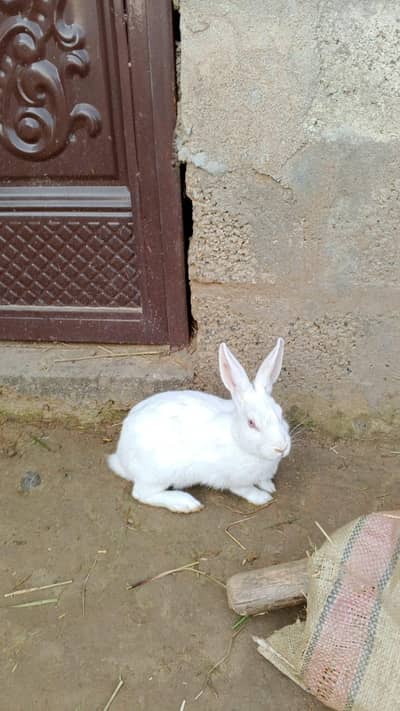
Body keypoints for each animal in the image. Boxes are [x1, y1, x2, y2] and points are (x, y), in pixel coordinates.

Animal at [108, 338, 291, 513]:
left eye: (281, 413)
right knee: (141, 494)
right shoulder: (235, 480)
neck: (237, 439)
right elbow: (246, 490)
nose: (281, 448)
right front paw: (263, 497)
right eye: (251, 423)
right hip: (159, 474)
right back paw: (185, 503)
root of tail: (121, 456)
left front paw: (269, 486)